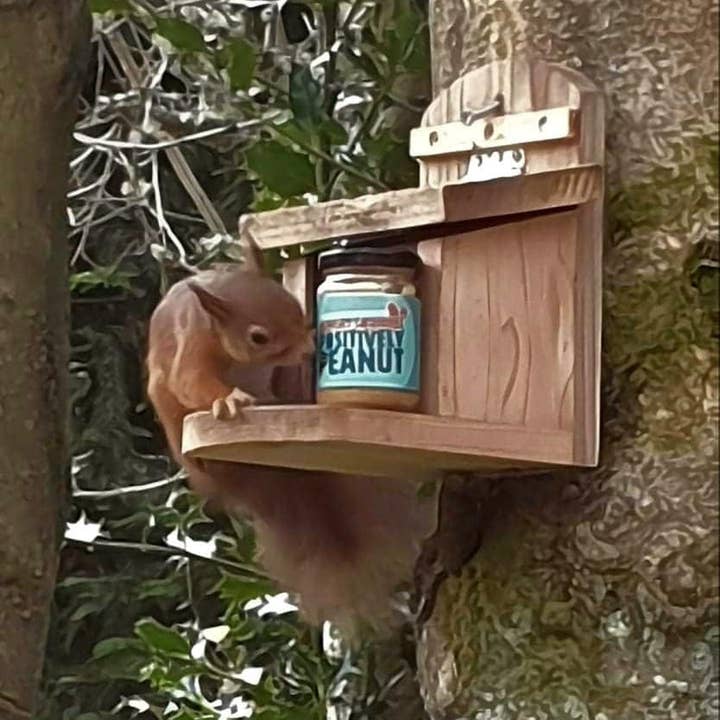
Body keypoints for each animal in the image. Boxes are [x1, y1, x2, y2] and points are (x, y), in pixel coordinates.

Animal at [146, 247, 434, 630]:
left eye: (296, 307)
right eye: (258, 337)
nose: (311, 351)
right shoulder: (191, 343)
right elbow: (190, 379)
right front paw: (229, 399)